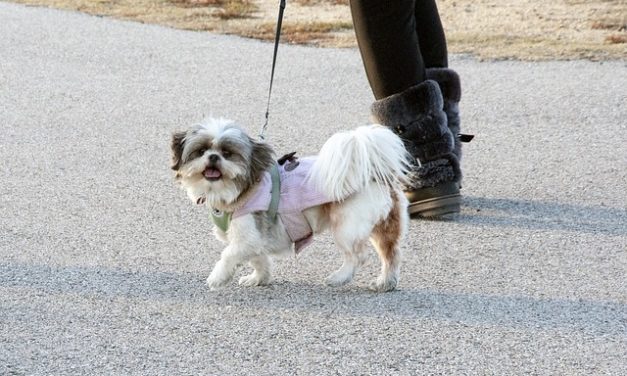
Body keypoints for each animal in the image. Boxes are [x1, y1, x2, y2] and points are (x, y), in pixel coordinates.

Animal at [169, 117, 410, 290]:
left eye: (227, 153)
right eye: (201, 151)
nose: (213, 157)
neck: (237, 192)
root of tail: (374, 170)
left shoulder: (247, 235)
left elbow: (229, 255)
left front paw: (217, 278)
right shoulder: (256, 240)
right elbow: (259, 259)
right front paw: (259, 278)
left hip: (347, 225)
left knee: (357, 256)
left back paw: (339, 278)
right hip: (383, 225)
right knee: (391, 254)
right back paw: (385, 282)